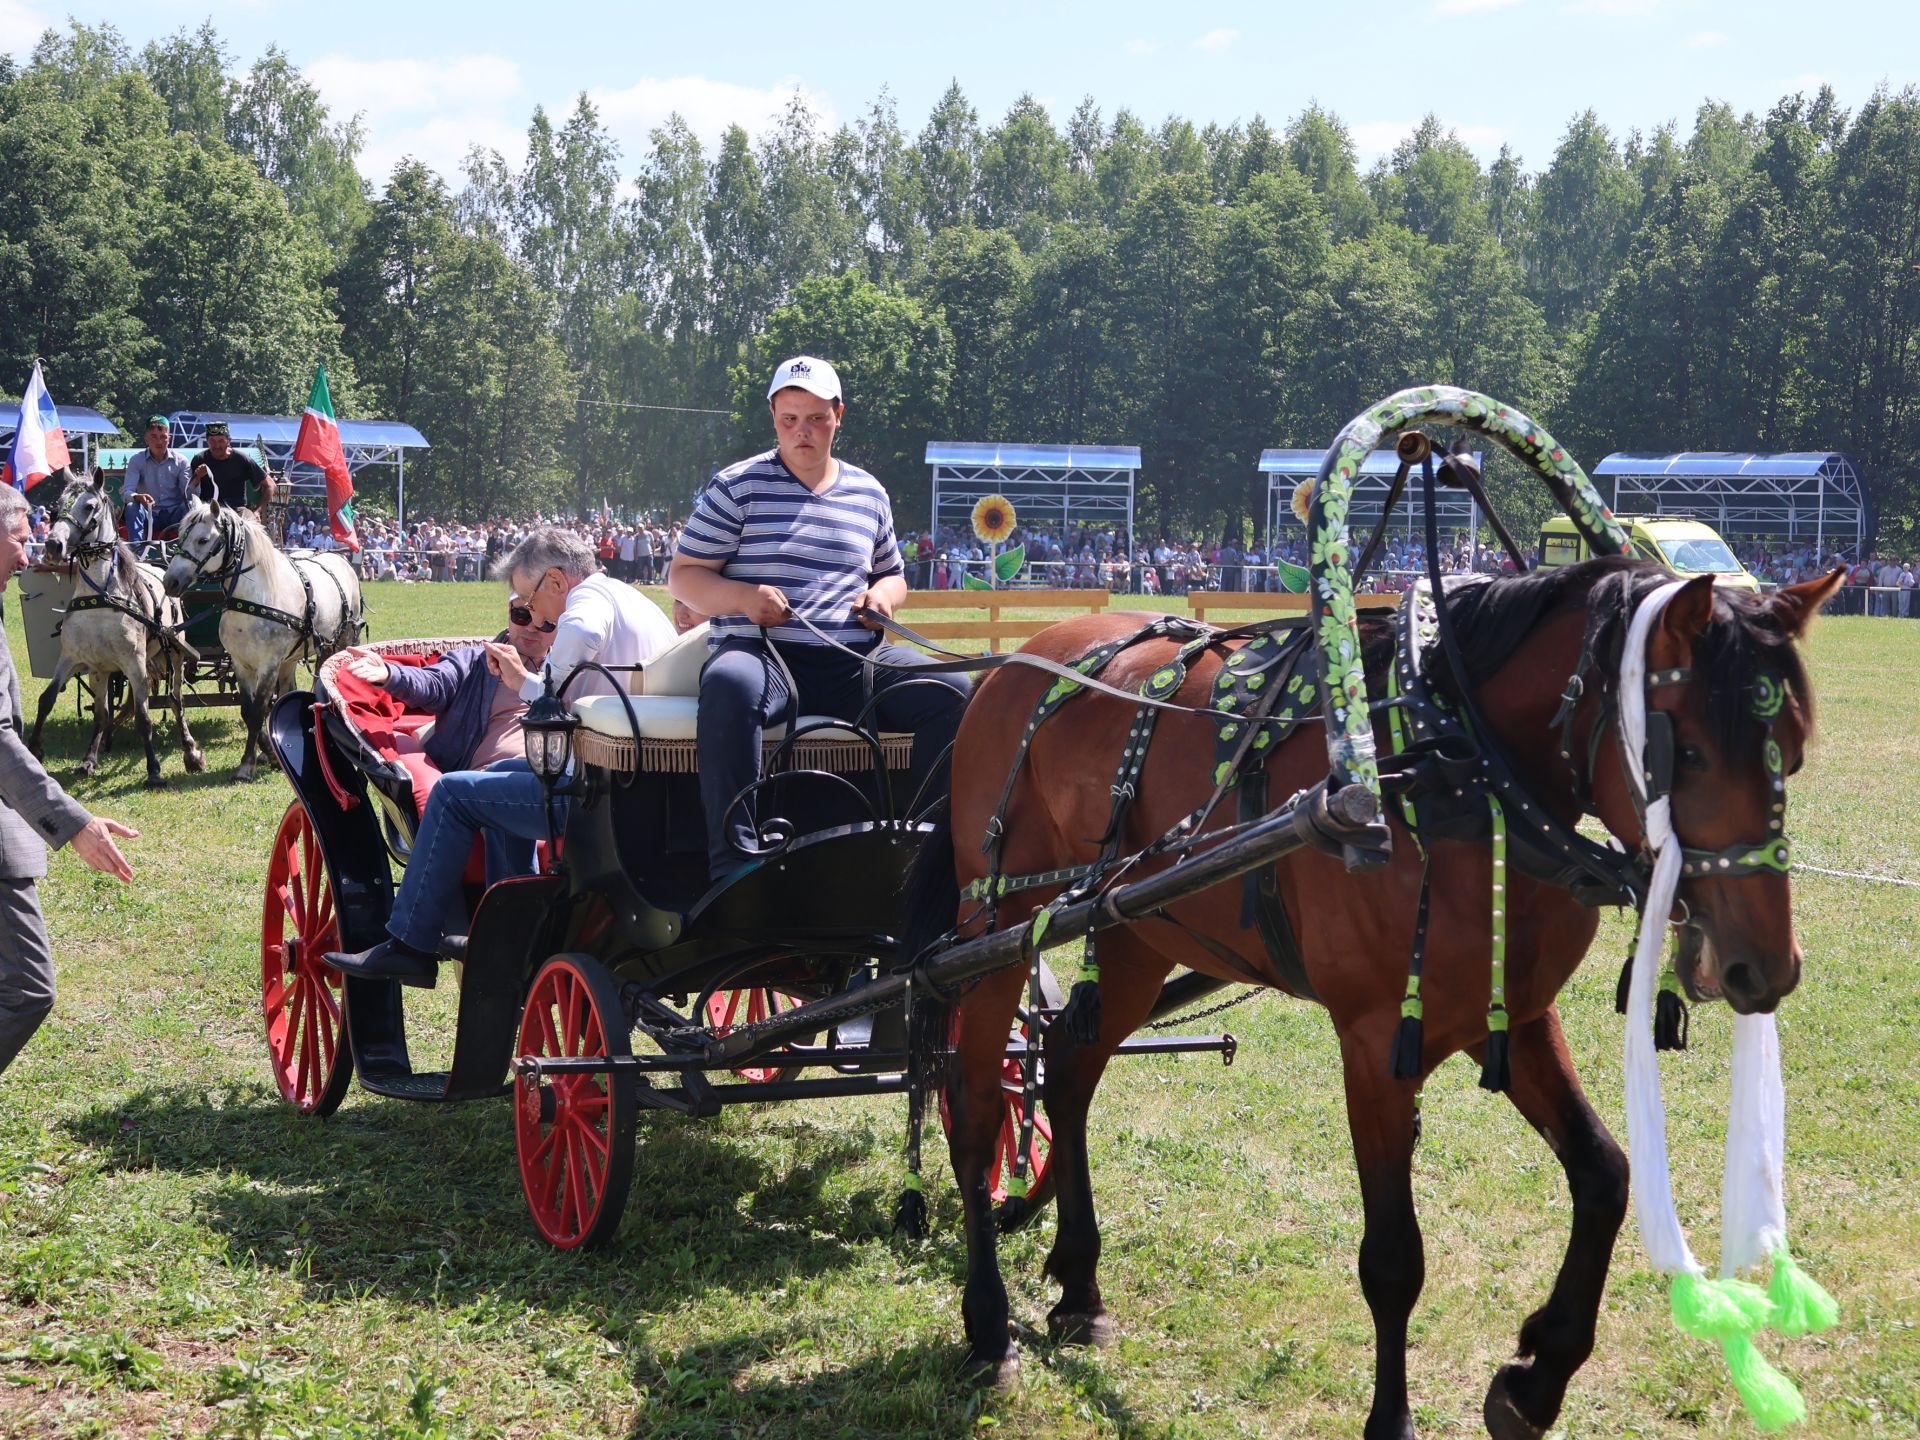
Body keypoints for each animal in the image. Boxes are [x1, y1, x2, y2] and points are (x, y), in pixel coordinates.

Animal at [28, 470, 206, 791]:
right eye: (58, 504)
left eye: (89, 506)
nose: (52, 546)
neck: (100, 597)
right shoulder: (75, 659)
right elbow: (50, 700)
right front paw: (40, 750)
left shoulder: (134, 662)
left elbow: (144, 717)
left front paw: (154, 771)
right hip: (103, 672)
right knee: (104, 713)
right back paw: (90, 758)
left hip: (174, 655)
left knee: (176, 701)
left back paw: (190, 752)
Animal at [163, 480, 364, 783]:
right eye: (179, 536)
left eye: (203, 540)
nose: (170, 581)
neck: (253, 600)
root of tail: (339, 558)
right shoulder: (242, 663)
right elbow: (250, 711)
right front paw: (263, 754)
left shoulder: (268, 664)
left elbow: (259, 710)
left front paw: (247, 766)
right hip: (291, 658)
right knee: (286, 692)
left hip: (337, 643)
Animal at [913, 560, 1843, 1440]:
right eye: (1685, 754)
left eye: (1795, 748)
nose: (1764, 968)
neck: (1455, 773)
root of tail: (1018, 661)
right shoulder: (1372, 1044)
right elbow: (1394, 1257)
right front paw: (1393, 1415)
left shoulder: (1514, 1016)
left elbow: (1604, 1174)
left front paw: (1538, 1376)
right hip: (995, 923)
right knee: (976, 1104)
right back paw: (989, 1326)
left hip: (1136, 930)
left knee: (1068, 1071)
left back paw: (1080, 1285)